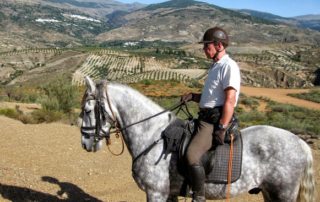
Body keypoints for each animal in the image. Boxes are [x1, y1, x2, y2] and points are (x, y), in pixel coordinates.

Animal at [79, 76, 316, 202]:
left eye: (88, 110)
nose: (85, 143)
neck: (152, 136)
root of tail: (301, 144)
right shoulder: (169, 193)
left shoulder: (155, 193)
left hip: (283, 194)